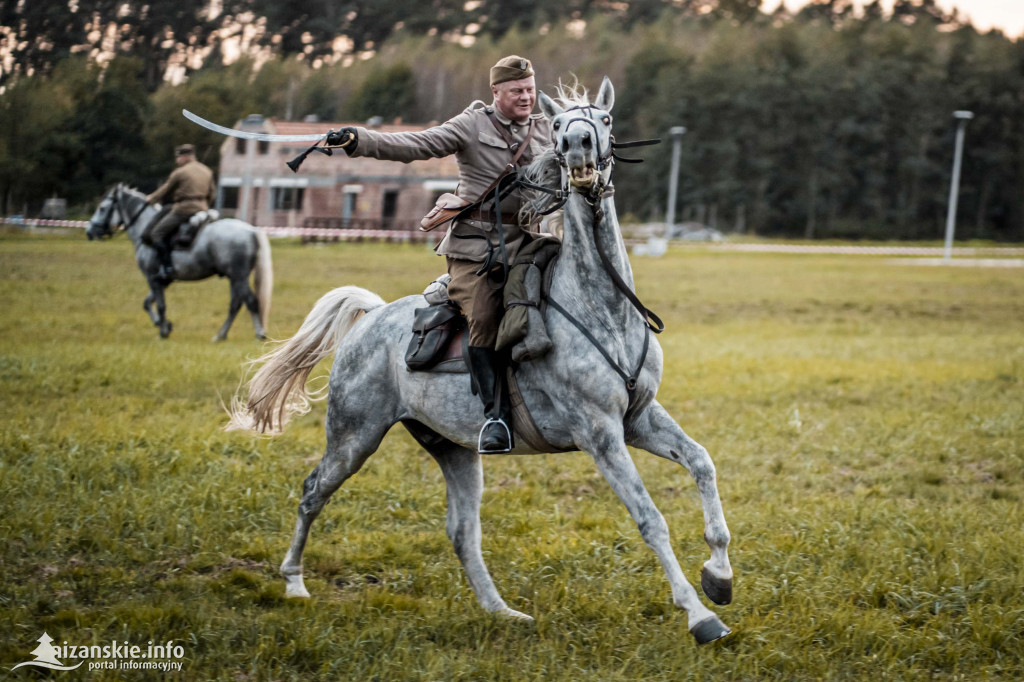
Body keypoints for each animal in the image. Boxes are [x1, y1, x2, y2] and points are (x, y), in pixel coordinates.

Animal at [228, 79, 733, 643]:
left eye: (602, 119)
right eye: (558, 125)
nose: (577, 146)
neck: (601, 305)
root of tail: (374, 315)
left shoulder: (638, 418)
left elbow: (702, 463)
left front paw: (719, 577)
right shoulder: (600, 434)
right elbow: (651, 519)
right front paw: (700, 615)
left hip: (454, 449)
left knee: (462, 531)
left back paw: (502, 611)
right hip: (353, 437)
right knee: (314, 491)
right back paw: (294, 581)